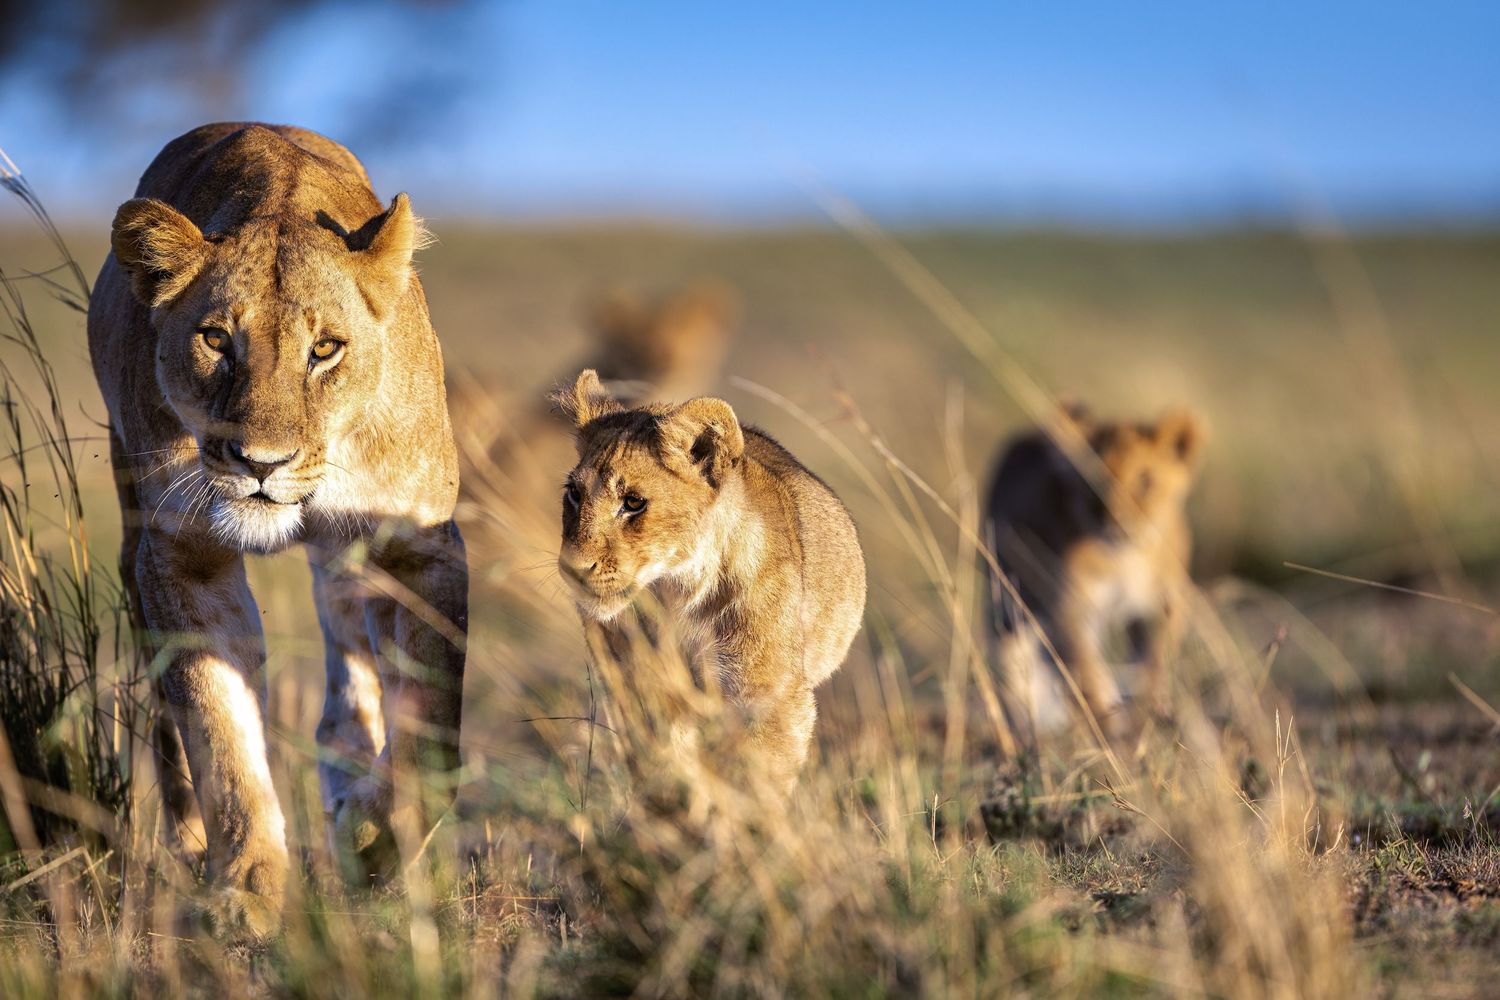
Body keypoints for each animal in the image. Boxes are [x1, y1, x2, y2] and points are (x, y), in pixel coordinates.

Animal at [88, 123, 468, 936]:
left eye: (324, 349)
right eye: (214, 340)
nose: (261, 462)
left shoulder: (421, 549)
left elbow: (433, 729)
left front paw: (374, 842)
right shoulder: (182, 555)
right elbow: (218, 727)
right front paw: (246, 887)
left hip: (350, 560)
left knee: (353, 668)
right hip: (133, 532)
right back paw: (192, 847)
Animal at [552, 370, 865, 793]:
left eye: (633, 502)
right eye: (574, 493)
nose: (573, 567)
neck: (677, 592)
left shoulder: (771, 697)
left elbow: (759, 782)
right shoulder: (637, 687)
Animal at [982, 404, 1203, 748]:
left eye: (1146, 480)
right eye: (1092, 484)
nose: (1118, 522)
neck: (1126, 558)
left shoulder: (1168, 602)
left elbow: (1156, 657)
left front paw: (1150, 707)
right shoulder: (1070, 609)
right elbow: (1089, 672)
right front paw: (1112, 725)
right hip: (1008, 597)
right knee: (1012, 657)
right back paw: (1039, 722)